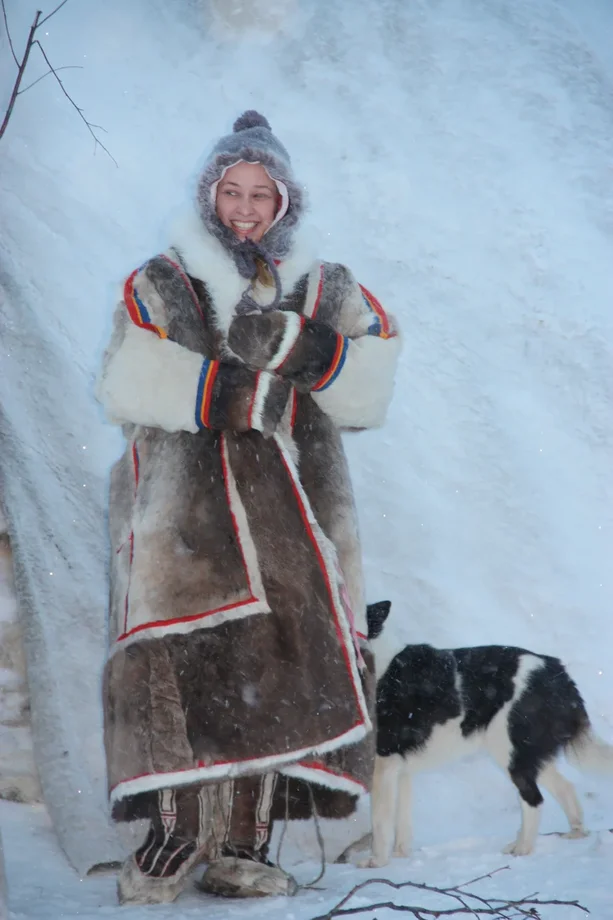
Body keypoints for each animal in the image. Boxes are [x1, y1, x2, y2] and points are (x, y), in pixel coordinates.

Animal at [338, 600, 613, 867]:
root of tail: (558, 673)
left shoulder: (383, 763)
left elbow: (381, 821)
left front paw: (377, 862)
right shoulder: (401, 769)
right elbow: (402, 822)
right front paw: (401, 856)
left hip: (510, 753)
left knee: (534, 800)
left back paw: (523, 848)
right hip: (526, 754)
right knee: (564, 787)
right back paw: (574, 833)